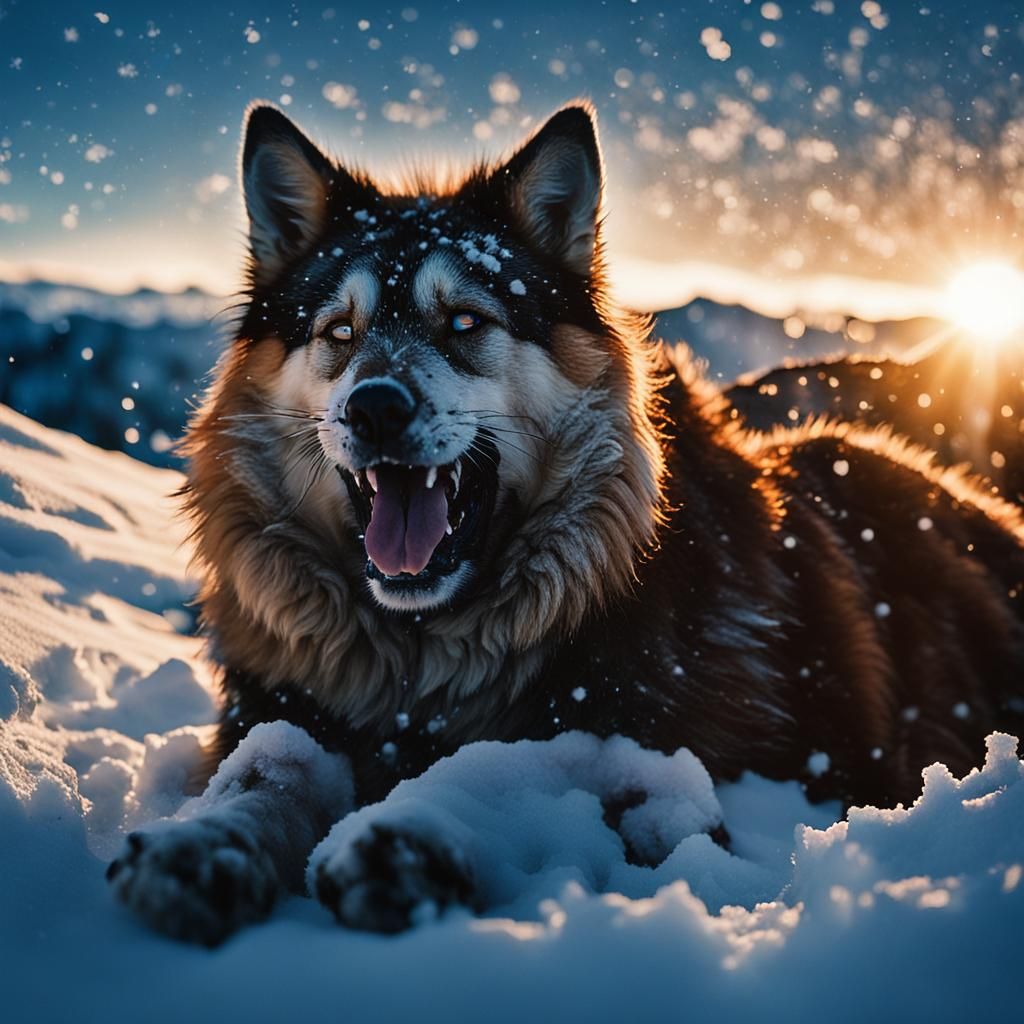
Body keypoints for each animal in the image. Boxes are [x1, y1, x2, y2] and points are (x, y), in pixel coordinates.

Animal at [107, 101, 1024, 944]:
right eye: (339, 330)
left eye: (465, 320)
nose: (373, 408)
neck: (423, 657)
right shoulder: (277, 713)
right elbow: (271, 774)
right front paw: (206, 844)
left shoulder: (701, 777)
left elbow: (537, 767)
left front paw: (408, 837)